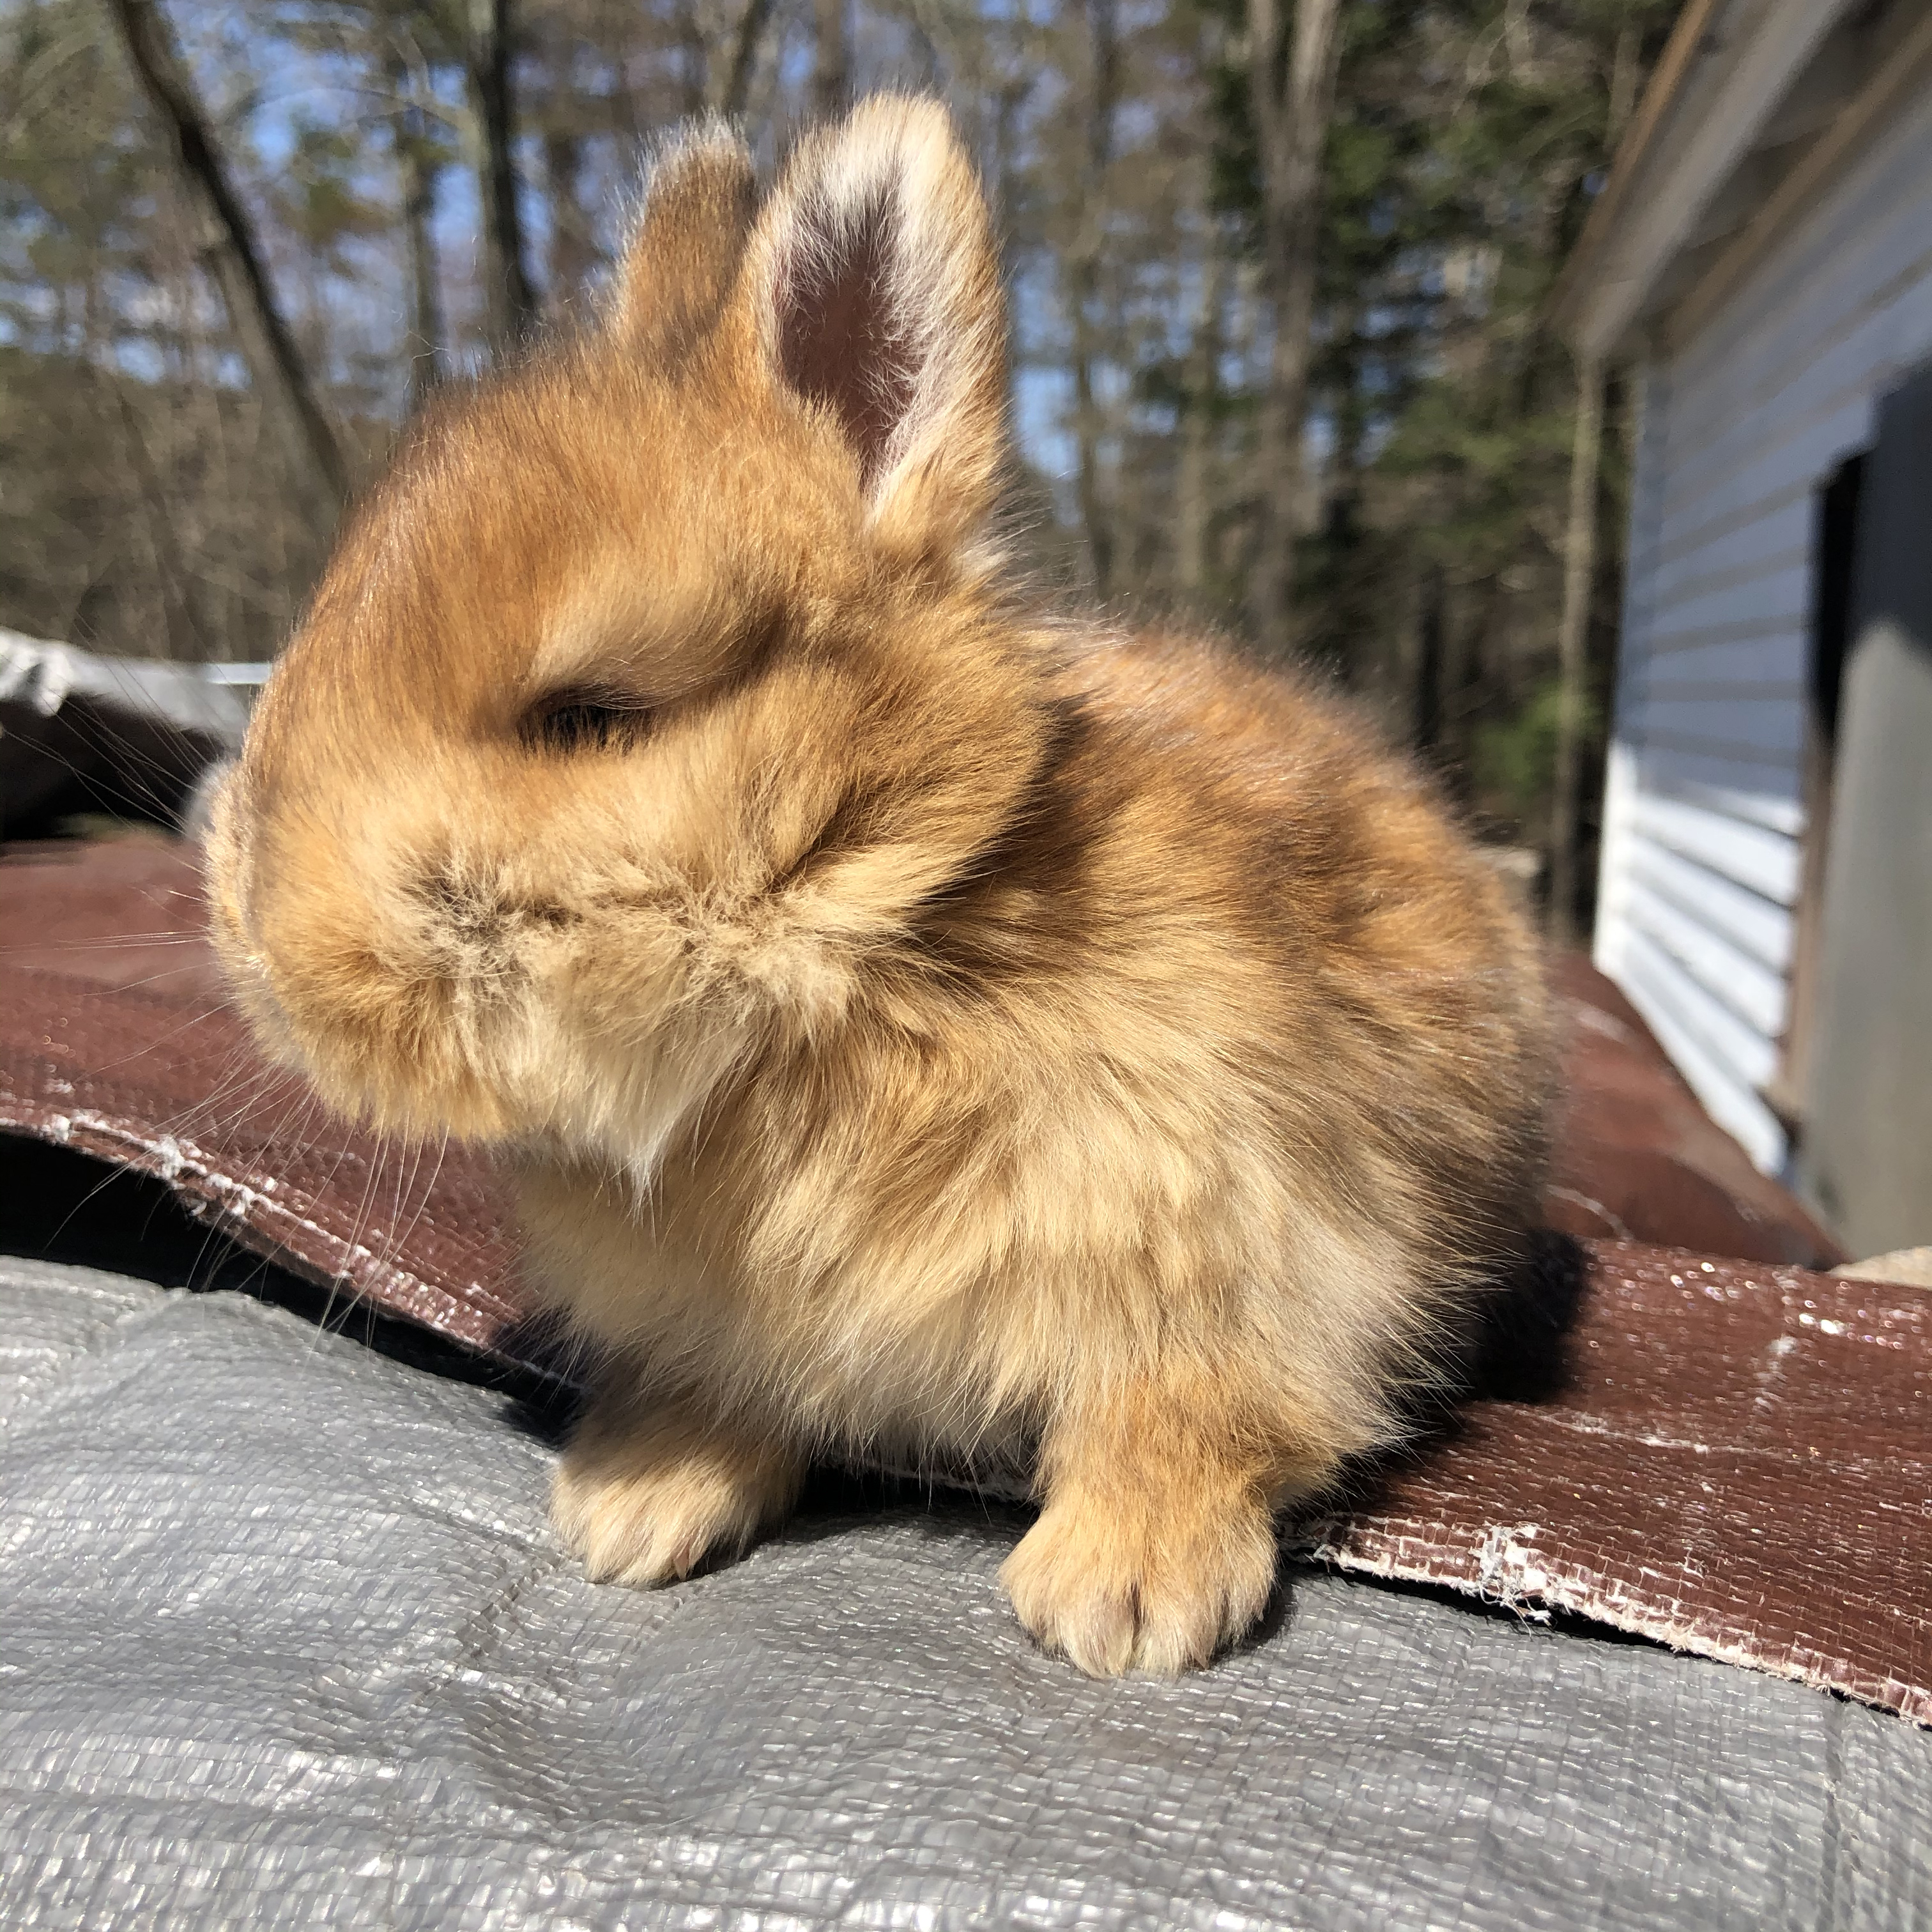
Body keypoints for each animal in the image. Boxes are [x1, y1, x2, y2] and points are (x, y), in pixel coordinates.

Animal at [205, 95, 1555, 1677]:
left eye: (594, 718)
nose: (272, 958)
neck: (868, 964)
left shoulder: (1269, 1257)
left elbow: (1184, 1416)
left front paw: (1124, 1600)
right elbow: (719, 1403)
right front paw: (630, 1509)